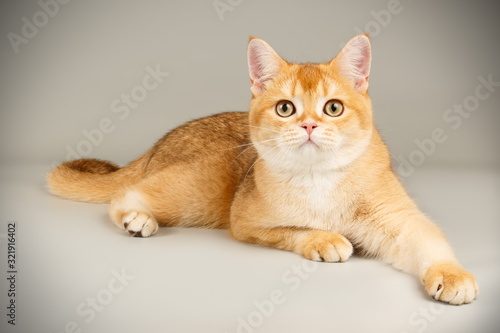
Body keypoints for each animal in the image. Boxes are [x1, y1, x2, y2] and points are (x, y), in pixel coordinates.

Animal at [48, 33, 478, 304]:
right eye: (285, 108)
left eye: (333, 107)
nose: (309, 125)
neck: (320, 178)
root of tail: (159, 143)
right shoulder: (246, 221)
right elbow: (296, 229)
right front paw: (325, 239)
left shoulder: (400, 219)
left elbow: (431, 242)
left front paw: (452, 275)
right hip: (197, 193)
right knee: (125, 193)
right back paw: (136, 218)